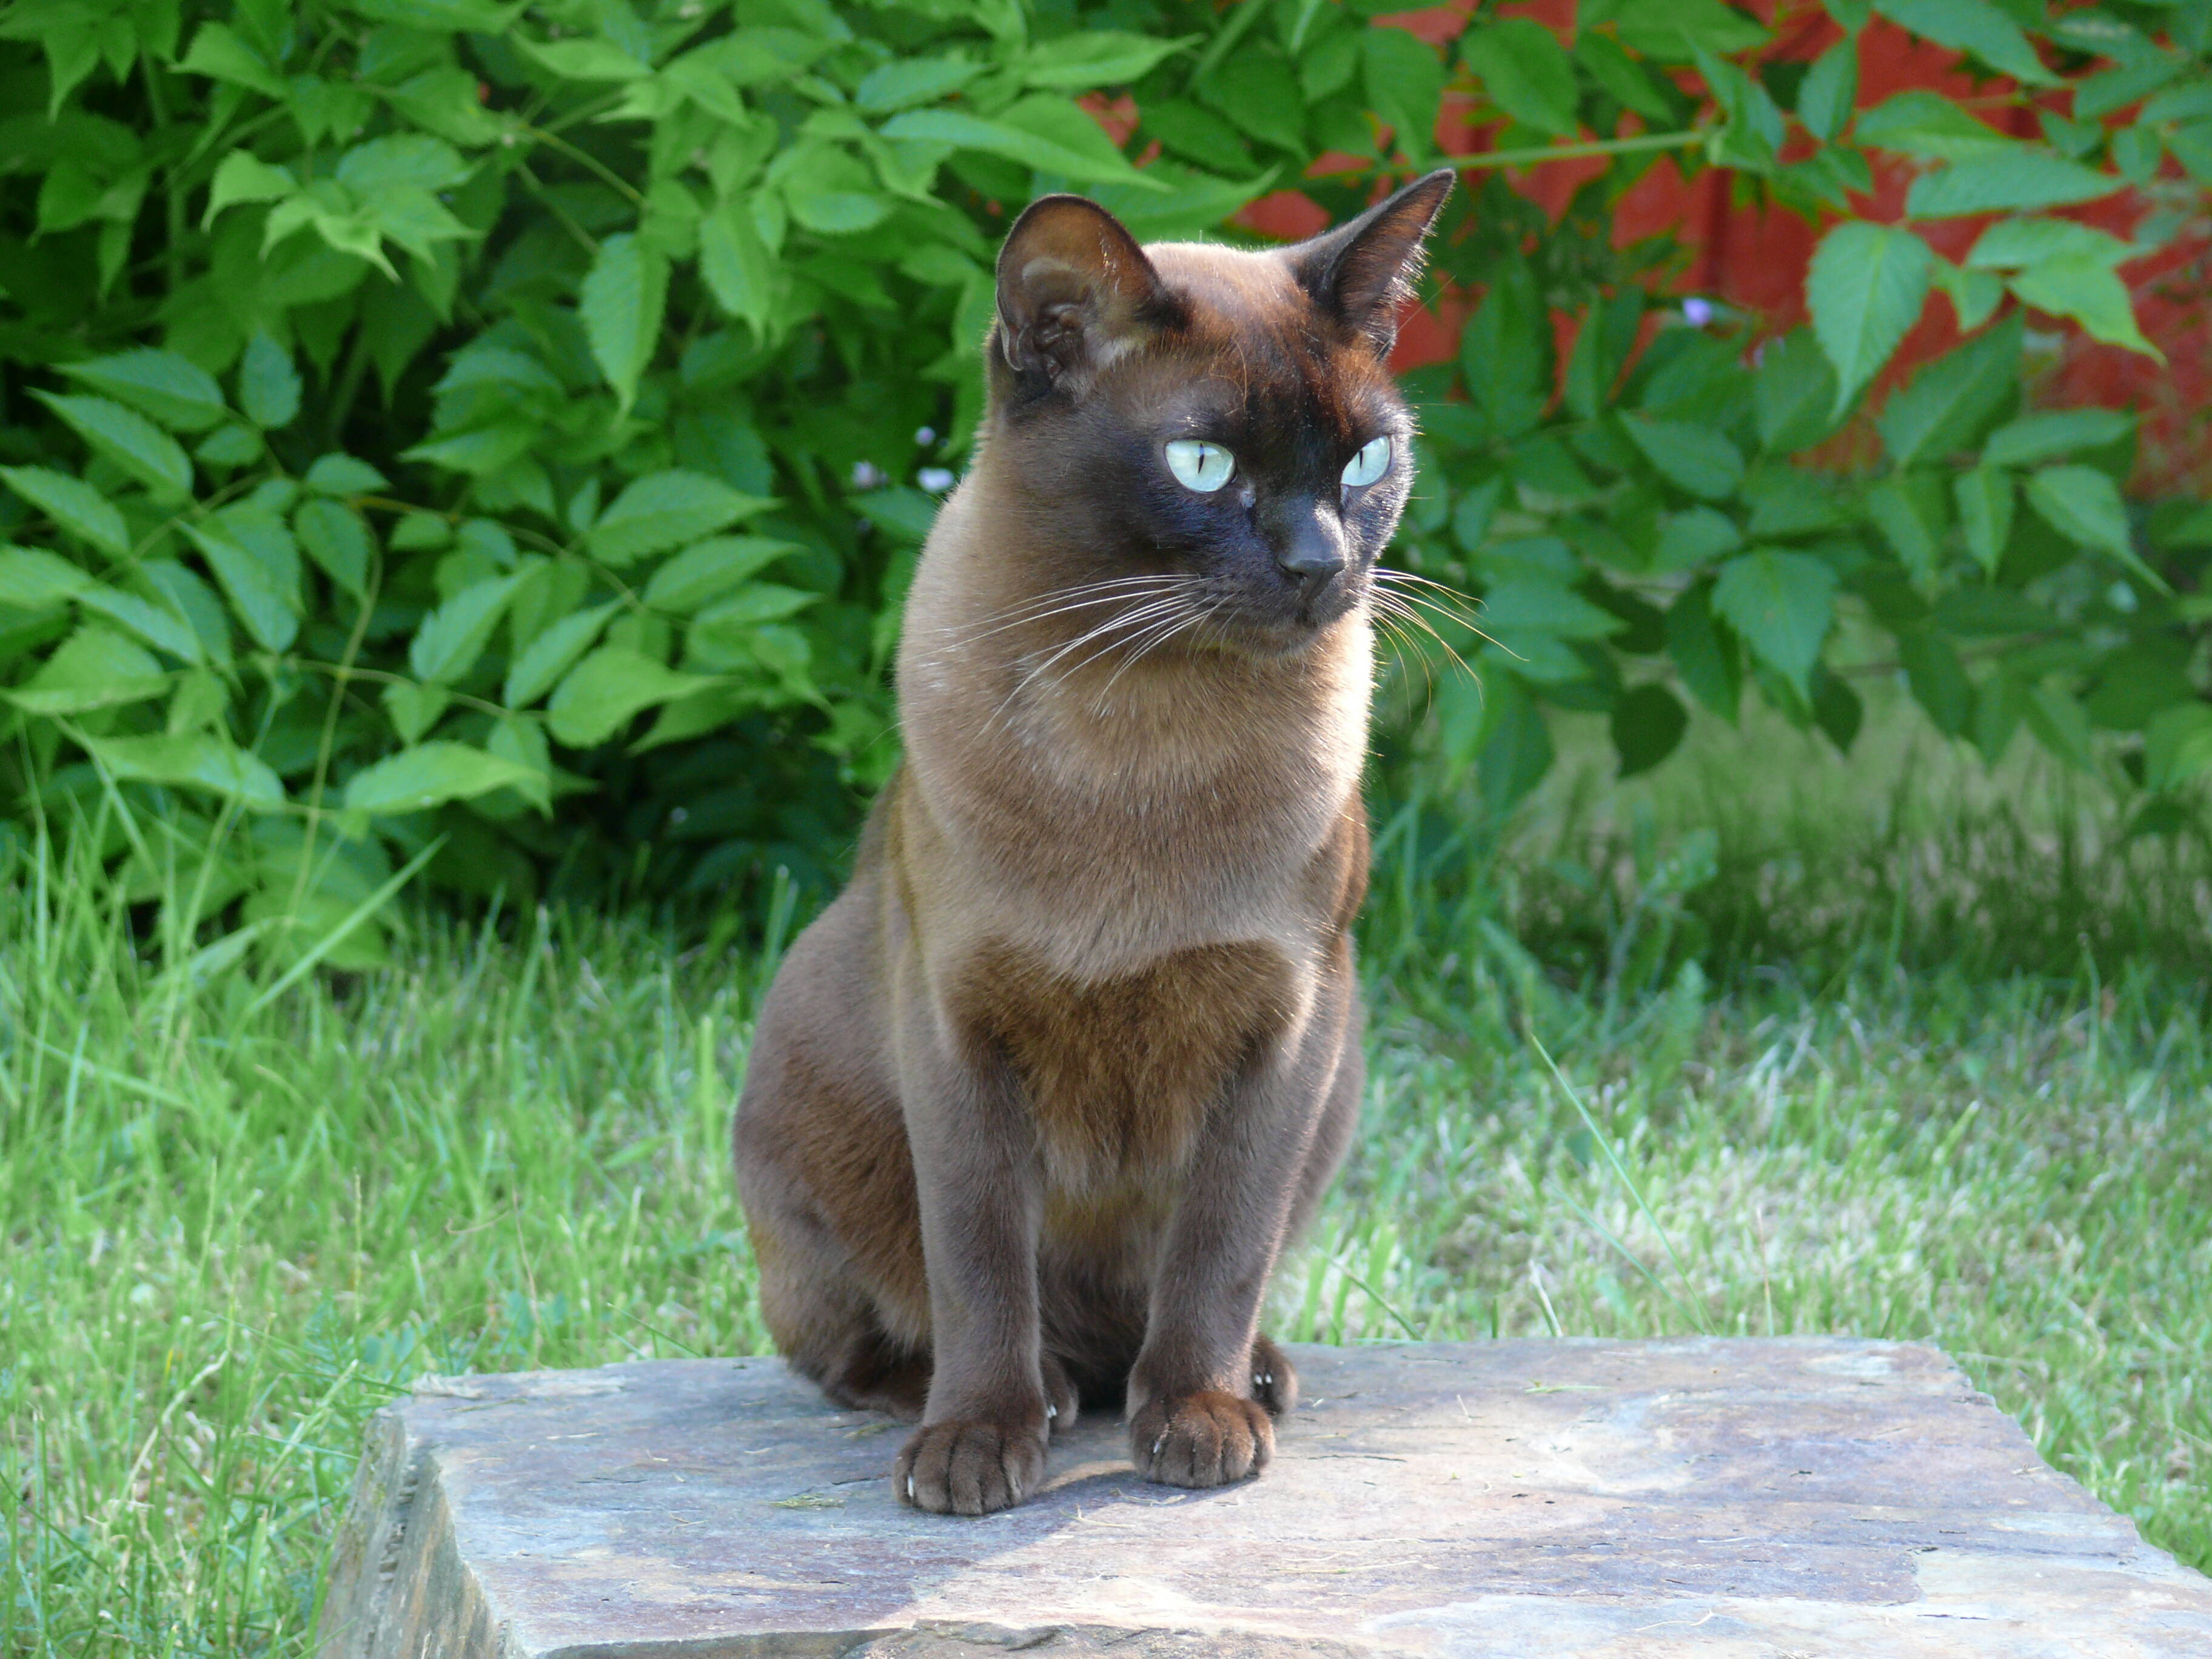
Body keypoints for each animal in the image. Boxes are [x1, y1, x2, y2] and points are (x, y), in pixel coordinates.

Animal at [734, 169, 1460, 1521]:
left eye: (1366, 460)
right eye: (1203, 463)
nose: (1321, 562)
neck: (1147, 739)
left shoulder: (1287, 1032)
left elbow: (1219, 1254)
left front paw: (1202, 1424)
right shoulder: (959, 1031)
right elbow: (978, 1261)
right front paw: (979, 1447)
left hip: (1339, 1090)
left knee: (1164, 1315)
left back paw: (1235, 1384)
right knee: (871, 1348)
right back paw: (1034, 1399)